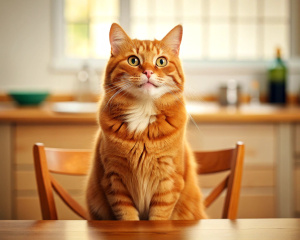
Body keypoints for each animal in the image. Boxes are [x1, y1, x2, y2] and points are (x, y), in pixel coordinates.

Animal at [85, 23, 207, 220]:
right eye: (133, 60)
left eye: (161, 61)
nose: (148, 72)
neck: (143, 111)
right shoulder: (114, 179)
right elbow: (126, 215)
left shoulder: (169, 179)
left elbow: (159, 216)